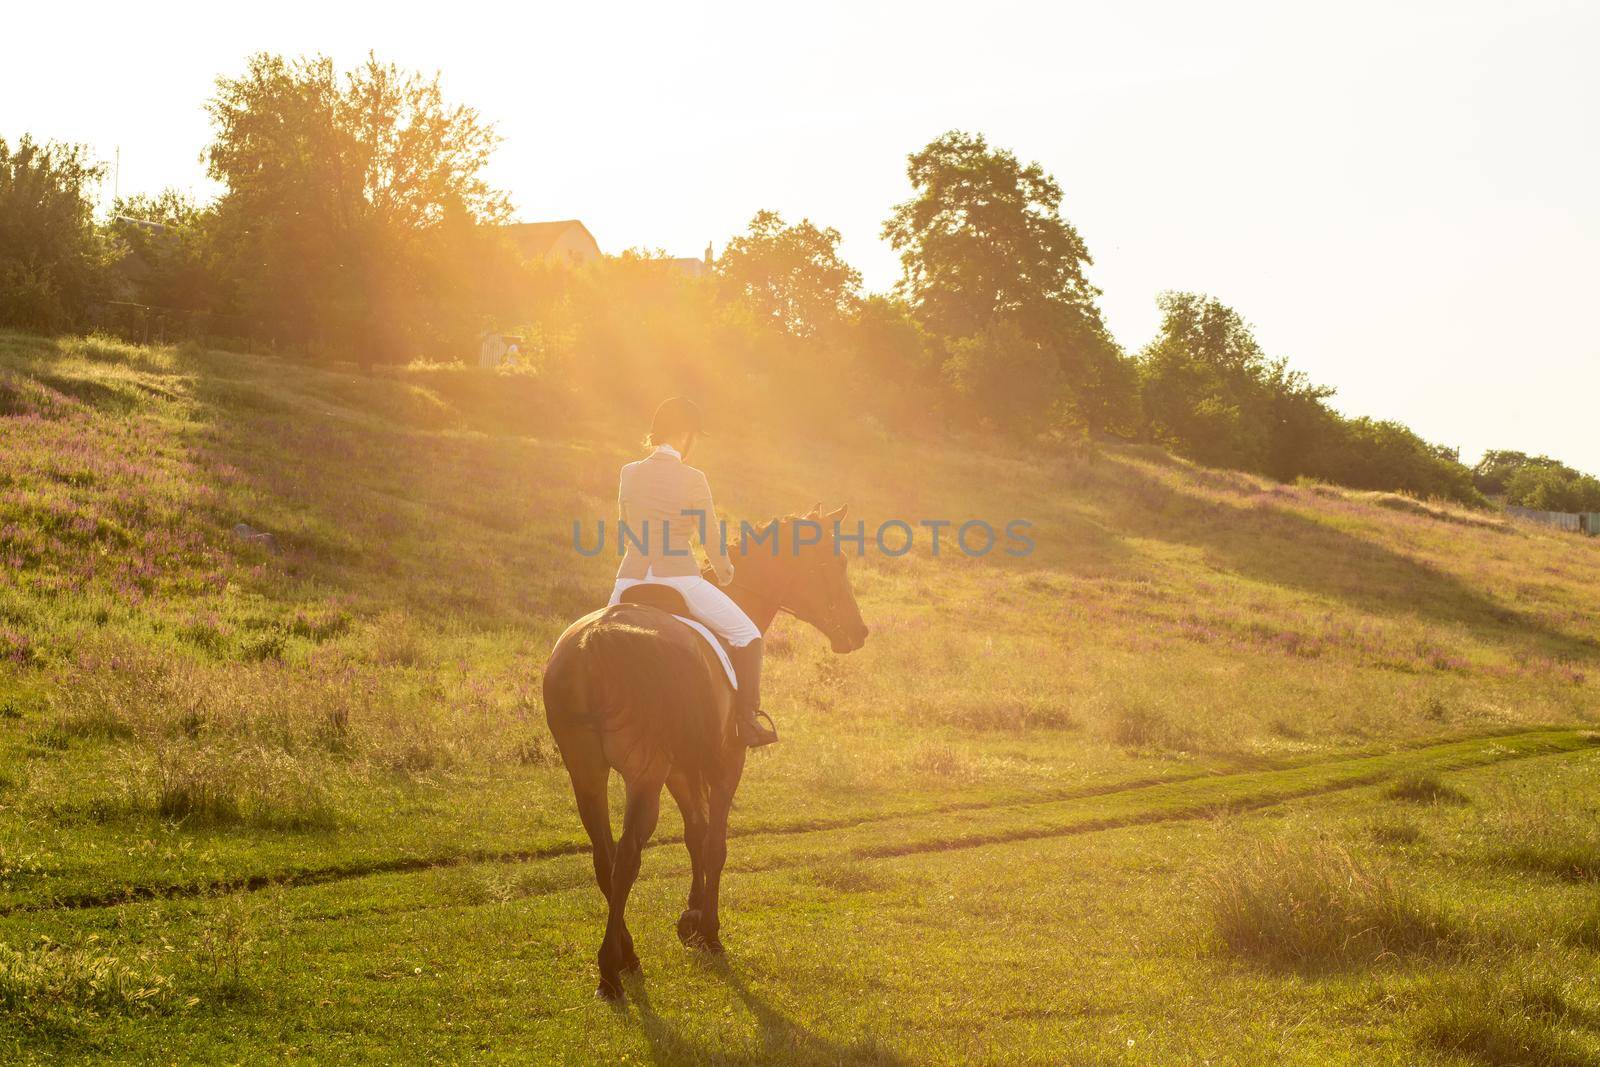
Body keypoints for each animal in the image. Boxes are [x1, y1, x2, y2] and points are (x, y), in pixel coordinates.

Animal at [544, 505, 870, 998]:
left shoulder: (680, 769)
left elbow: (695, 834)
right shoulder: (725, 762)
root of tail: (593, 643)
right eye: (836, 563)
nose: (858, 631)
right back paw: (611, 970)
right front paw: (710, 931)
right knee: (626, 859)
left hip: (586, 771)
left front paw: (691, 921)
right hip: (643, 774)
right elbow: (715, 844)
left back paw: (626, 954)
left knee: (604, 857)